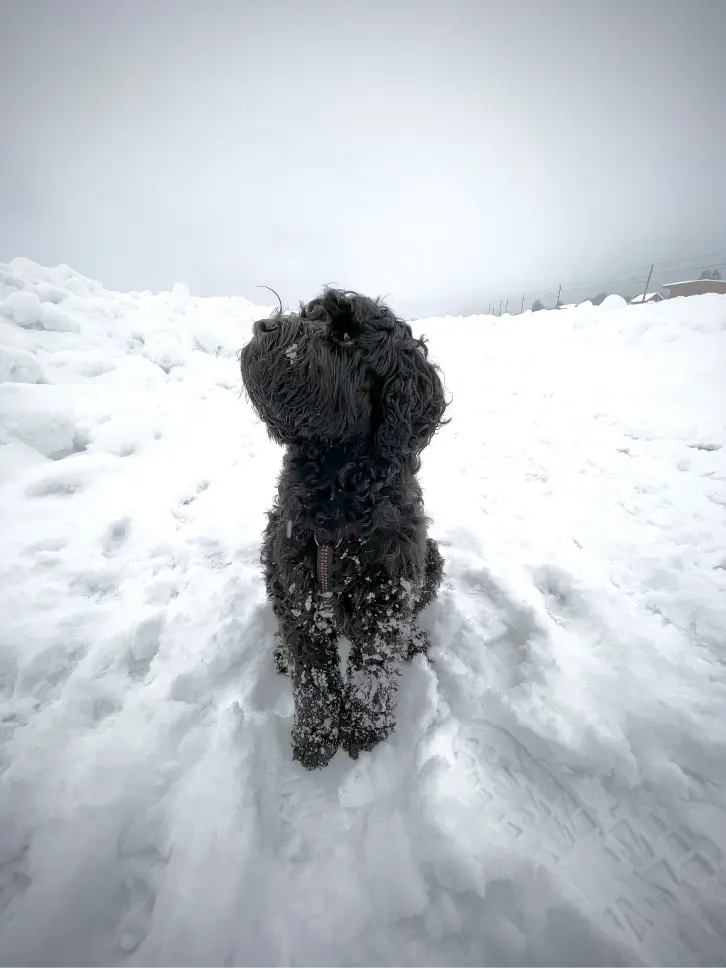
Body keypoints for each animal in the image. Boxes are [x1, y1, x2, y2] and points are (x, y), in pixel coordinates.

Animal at [240, 290, 450, 772]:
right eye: (309, 314)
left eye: (348, 334)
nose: (264, 327)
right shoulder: (297, 586)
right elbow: (313, 672)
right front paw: (316, 737)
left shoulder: (388, 590)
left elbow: (374, 667)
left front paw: (365, 730)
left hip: (430, 558)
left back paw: (414, 641)